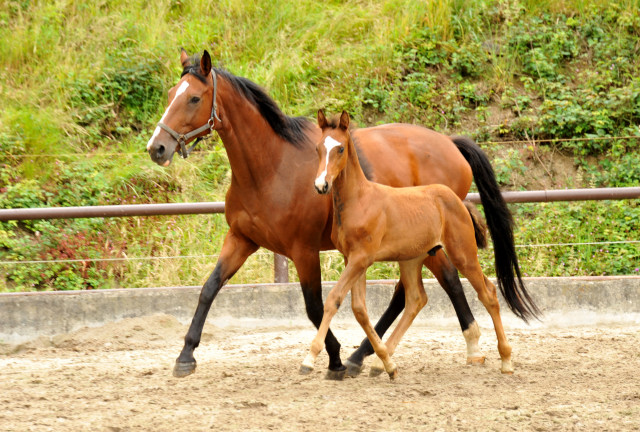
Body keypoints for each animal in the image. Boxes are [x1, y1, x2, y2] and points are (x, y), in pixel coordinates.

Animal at [300, 110, 516, 378]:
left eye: (340, 148)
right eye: (318, 148)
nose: (321, 185)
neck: (359, 200)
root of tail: (459, 202)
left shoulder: (361, 258)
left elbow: (334, 299)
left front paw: (309, 360)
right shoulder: (352, 258)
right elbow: (359, 309)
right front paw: (385, 363)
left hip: (462, 254)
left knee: (488, 293)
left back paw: (506, 360)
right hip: (413, 259)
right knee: (416, 299)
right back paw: (382, 363)